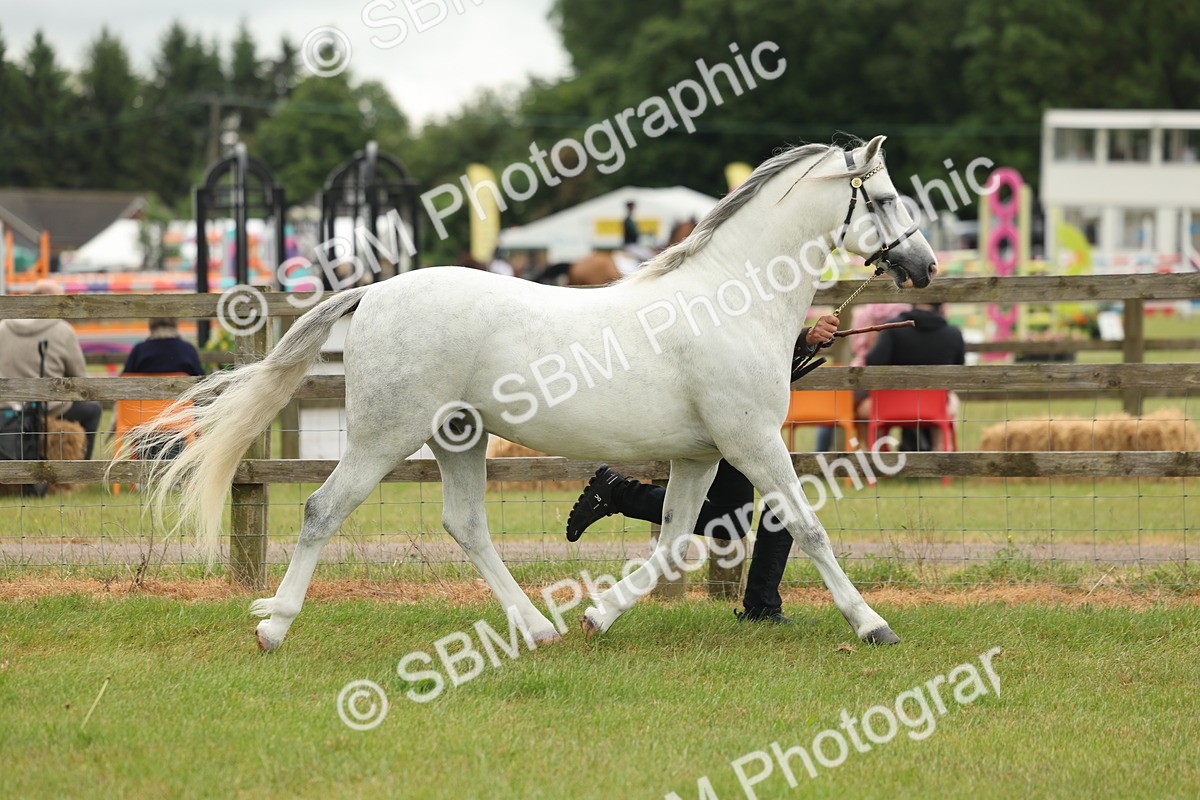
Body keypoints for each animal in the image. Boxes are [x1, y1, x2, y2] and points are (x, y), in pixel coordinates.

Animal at [131, 135, 936, 651]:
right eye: (885, 196)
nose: (925, 265)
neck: (731, 301)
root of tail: (374, 292)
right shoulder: (753, 442)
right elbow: (807, 527)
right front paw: (873, 625)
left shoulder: (702, 454)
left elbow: (673, 539)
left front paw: (598, 618)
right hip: (384, 435)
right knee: (323, 511)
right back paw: (274, 626)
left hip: (460, 436)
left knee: (466, 525)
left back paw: (539, 627)